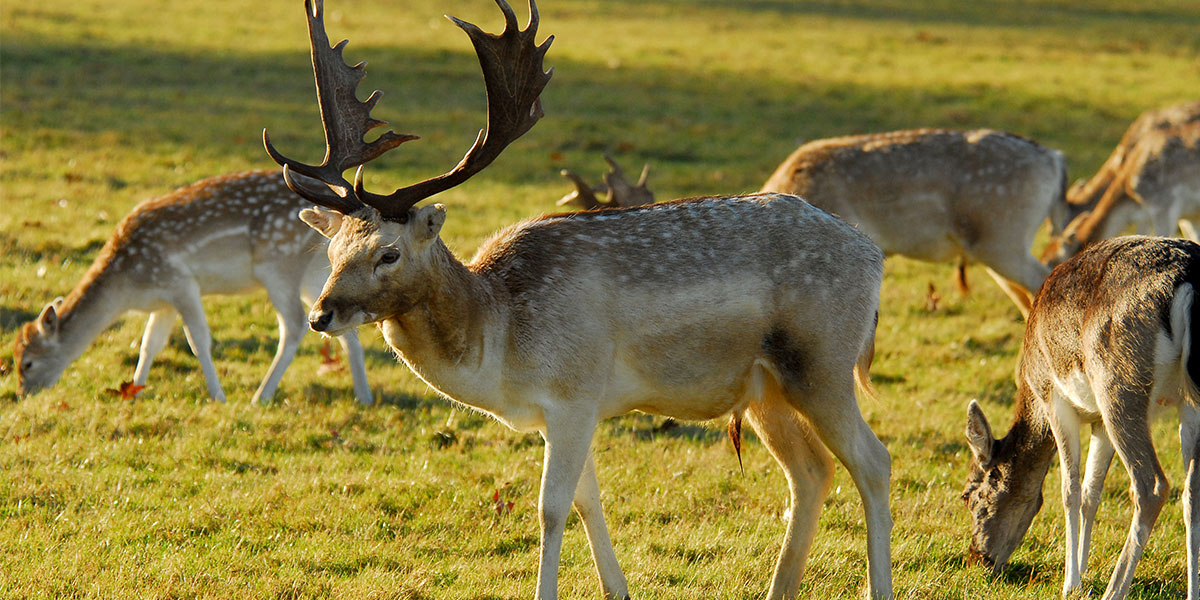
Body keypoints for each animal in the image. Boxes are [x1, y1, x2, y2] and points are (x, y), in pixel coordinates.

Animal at [13, 170, 373, 405]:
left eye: (27, 362)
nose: (23, 394)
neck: (128, 286)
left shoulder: (181, 282)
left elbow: (199, 340)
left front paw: (218, 396)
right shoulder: (163, 301)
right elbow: (149, 344)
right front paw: (132, 392)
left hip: (278, 265)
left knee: (294, 325)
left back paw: (261, 395)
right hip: (317, 271)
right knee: (343, 325)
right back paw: (364, 396)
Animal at [259, 0, 894, 598]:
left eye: (388, 253)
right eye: (333, 248)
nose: (321, 314)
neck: (498, 343)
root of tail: (874, 259)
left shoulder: (574, 391)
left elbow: (551, 507)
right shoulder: (562, 410)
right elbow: (590, 501)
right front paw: (620, 590)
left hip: (821, 362)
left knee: (874, 461)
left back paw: (876, 584)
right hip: (764, 388)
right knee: (811, 472)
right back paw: (778, 587)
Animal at [961, 235, 1200, 600]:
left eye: (969, 495)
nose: (978, 559)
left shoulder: (1054, 397)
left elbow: (1069, 489)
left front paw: (1071, 582)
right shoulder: (1099, 420)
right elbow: (1091, 491)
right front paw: (1084, 569)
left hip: (1118, 386)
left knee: (1152, 486)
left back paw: (1114, 590)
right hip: (1188, 401)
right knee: (1191, 491)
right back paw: (1191, 591)